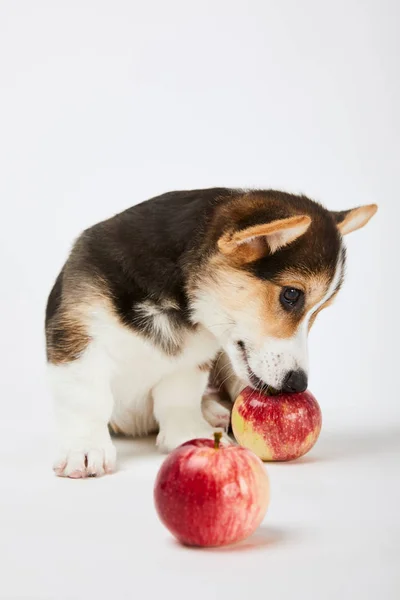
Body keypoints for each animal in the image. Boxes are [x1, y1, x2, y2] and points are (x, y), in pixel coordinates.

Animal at [45, 188, 376, 478]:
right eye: (292, 295)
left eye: (320, 310)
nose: (298, 385)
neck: (183, 304)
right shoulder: (78, 338)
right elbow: (88, 398)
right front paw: (85, 449)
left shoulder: (193, 360)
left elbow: (179, 396)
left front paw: (189, 434)